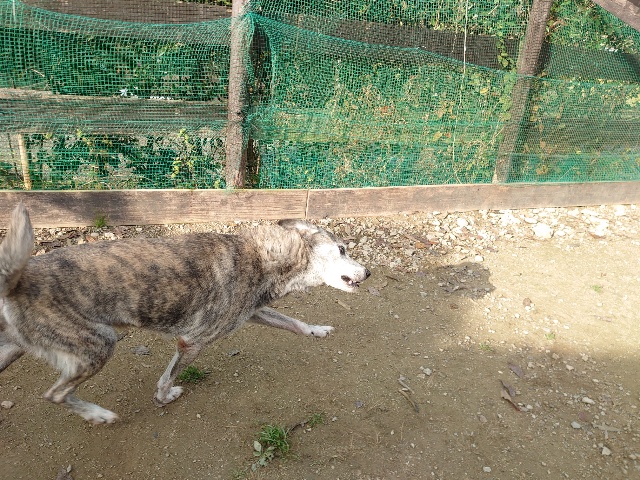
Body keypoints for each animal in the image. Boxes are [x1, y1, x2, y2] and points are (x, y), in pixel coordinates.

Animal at [0, 204, 369, 424]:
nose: (368, 273)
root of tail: (17, 280)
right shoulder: (192, 342)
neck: (264, 257)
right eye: (342, 249)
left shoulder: (251, 313)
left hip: (16, 347)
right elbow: (167, 378)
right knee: (55, 394)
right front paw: (164, 398)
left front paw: (317, 330)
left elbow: (294, 322)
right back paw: (99, 414)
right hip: (101, 343)